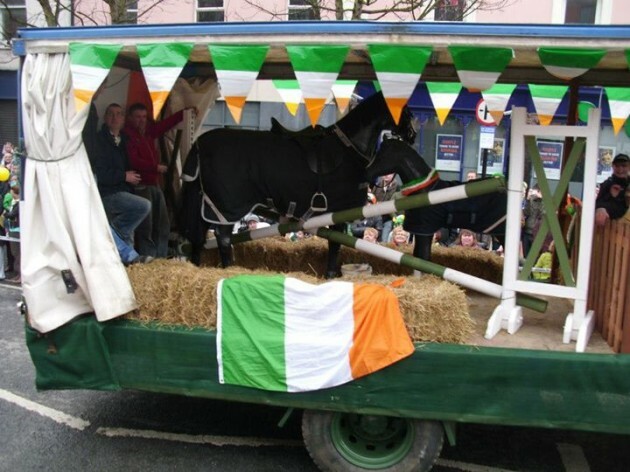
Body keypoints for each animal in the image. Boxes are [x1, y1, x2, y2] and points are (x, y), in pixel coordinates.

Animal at [179, 91, 424, 276]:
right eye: (405, 109)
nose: (413, 134)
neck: (349, 148)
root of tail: (200, 143)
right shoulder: (339, 210)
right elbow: (335, 244)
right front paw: (331, 274)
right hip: (227, 207)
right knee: (222, 236)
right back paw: (229, 268)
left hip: (209, 204)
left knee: (199, 235)